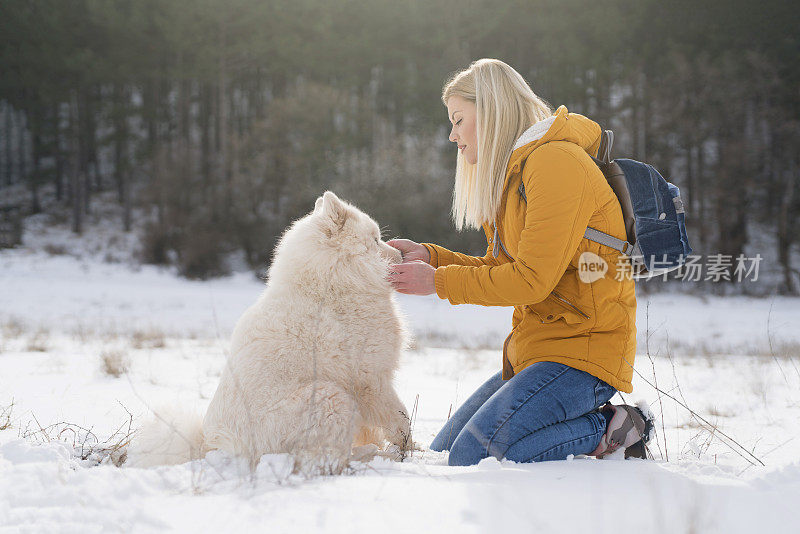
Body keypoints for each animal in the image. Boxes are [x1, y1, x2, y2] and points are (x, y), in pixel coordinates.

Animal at [129, 193, 412, 478]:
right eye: (375, 240)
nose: (401, 253)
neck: (330, 285)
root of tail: (212, 448)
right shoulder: (370, 379)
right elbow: (400, 416)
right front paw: (405, 447)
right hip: (331, 397)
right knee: (321, 461)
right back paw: (366, 460)